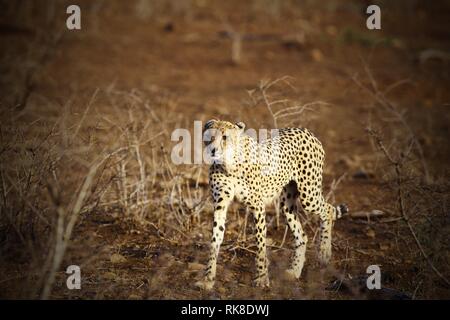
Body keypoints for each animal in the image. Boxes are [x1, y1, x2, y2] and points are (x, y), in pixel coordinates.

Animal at [194, 119, 348, 290]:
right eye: (209, 136)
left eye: (225, 137)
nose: (212, 150)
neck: (229, 163)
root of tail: (306, 131)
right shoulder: (220, 205)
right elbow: (215, 239)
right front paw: (208, 279)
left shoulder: (257, 206)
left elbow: (260, 243)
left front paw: (261, 277)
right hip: (287, 203)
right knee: (302, 235)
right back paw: (294, 271)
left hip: (308, 194)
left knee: (328, 210)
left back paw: (324, 251)